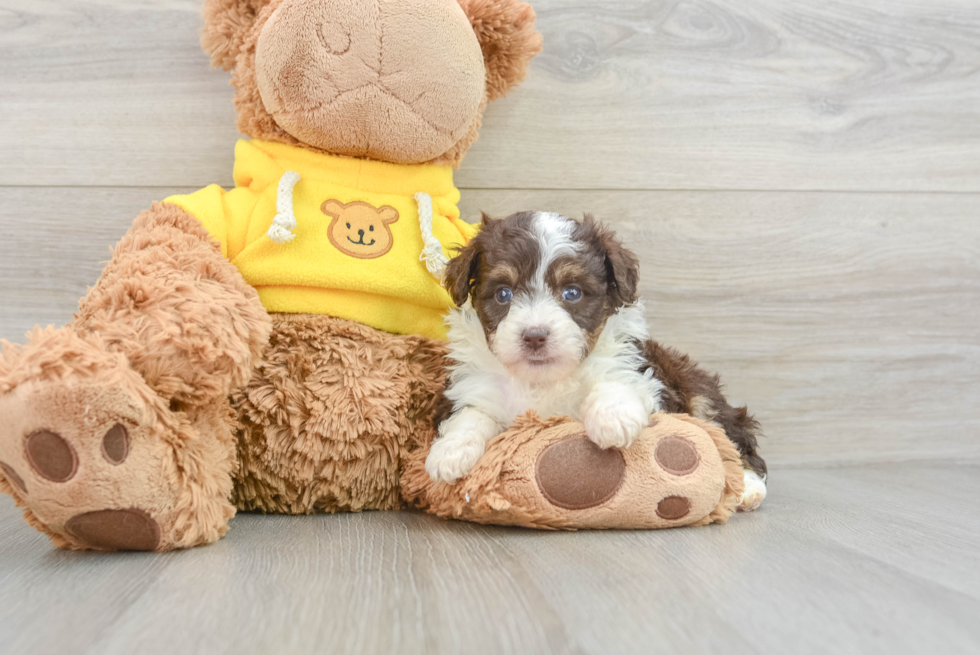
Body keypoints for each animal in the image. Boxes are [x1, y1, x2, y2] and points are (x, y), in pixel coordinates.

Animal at [424, 213, 768, 510]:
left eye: (572, 292)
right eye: (503, 294)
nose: (534, 336)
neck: (542, 380)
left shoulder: (645, 377)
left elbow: (615, 381)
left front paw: (613, 420)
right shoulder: (474, 388)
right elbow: (471, 415)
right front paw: (449, 453)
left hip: (698, 391)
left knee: (730, 436)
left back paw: (747, 487)